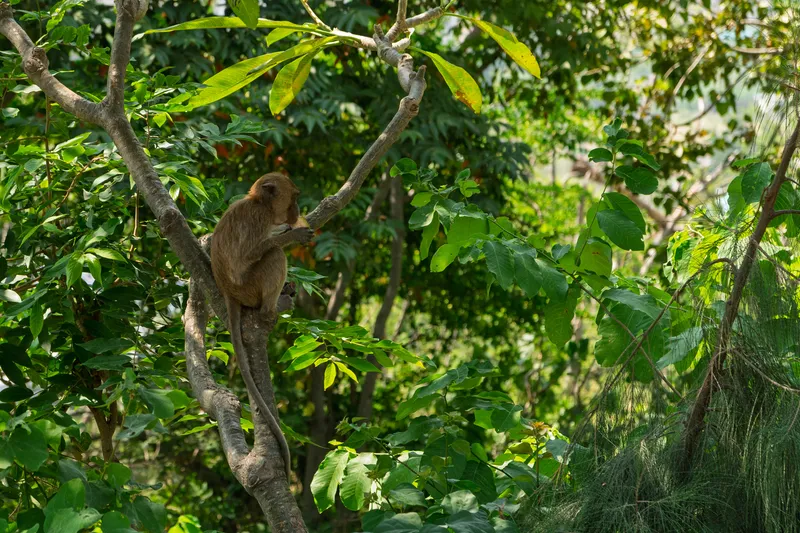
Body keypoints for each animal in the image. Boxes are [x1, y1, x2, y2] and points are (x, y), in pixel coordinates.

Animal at [211, 173, 314, 479]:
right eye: (294, 197)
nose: (296, 211)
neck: (261, 205)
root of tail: (229, 293)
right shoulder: (257, 220)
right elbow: (252, 253)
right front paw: (291, 234)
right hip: (249, 287)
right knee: (274, 256)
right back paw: (273, 307)